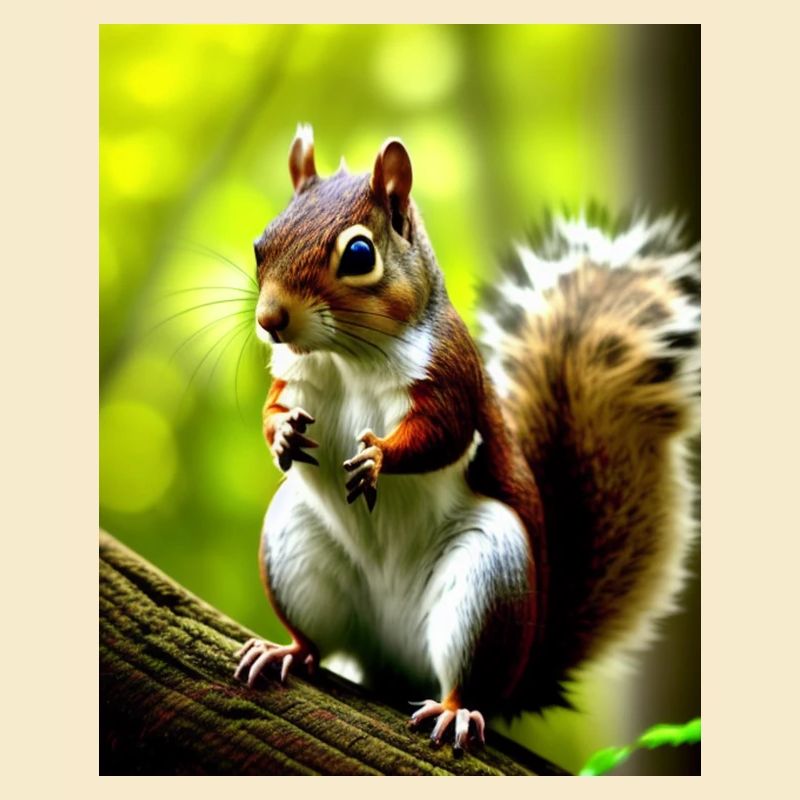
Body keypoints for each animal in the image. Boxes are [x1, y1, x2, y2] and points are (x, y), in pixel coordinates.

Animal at [234, 124, 700, 752]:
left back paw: (456, 710)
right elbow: (274, 408)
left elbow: (443, 435)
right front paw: (283, 433)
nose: (271, 320)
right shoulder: (296, 376)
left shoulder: (451, 375)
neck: (347, 357)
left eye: (359, 255)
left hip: (487, 580)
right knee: (316, 640)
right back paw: (285, 650)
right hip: (295, 548)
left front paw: (378, 456)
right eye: (262, 245)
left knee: (469, 677)